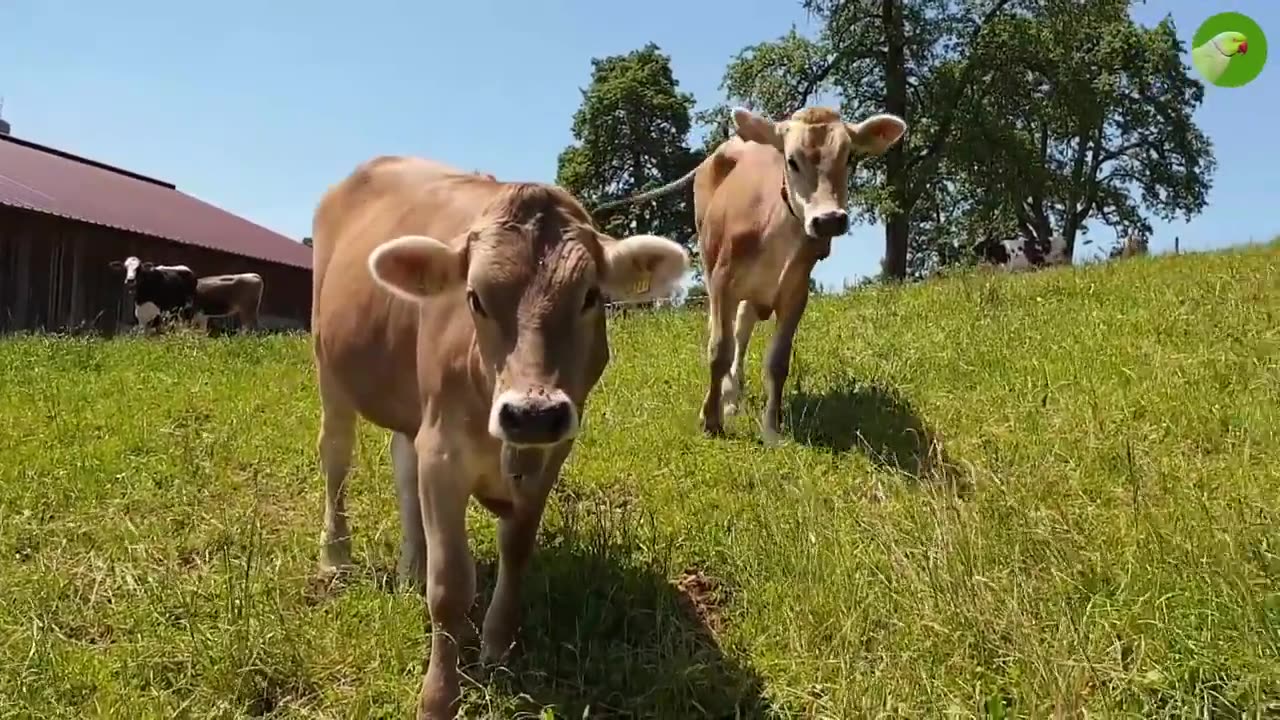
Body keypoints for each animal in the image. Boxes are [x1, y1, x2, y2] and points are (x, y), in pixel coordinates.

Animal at [309, 152, 691, 712]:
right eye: (474, 298)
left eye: (590, 296)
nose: (532, 412)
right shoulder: (444, 453)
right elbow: (450, 587)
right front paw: (438, 698)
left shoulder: (551, 452)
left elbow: (516, 549)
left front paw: (496, 644)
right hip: (330, 368)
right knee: (336, 457)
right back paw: (336, 557)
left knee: (402, 466)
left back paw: (410, 566)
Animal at [591, 105, 906, 443]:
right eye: (792, 160)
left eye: (848, 157)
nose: (829, 220)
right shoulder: (722, 282)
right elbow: (719, 350)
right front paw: (711, 419)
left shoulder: (796, 294)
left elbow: (777, 361)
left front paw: (771, 428)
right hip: (709, 260)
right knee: (725, 331)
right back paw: (727, 396)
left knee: (742, 329)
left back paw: (733, 394)